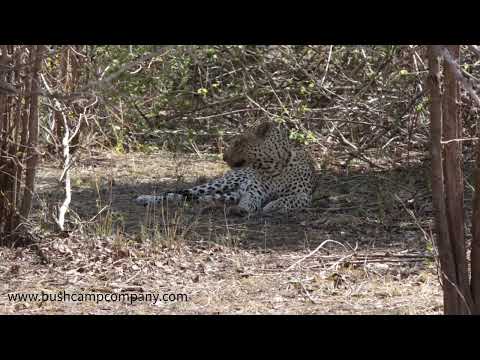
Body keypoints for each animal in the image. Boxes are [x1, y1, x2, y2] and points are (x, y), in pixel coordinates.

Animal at [134, 121, 316, 217]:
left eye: (238, 142)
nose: (223, 157)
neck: (274, 166)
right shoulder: (255, 191)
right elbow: (250, 200)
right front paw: (243, 208)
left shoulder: (303, 195)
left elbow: (287, 199)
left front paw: (271, 206)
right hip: (221, 183)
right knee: (180, 193)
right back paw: (146, 198)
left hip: (229, 194)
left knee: (195, 197)